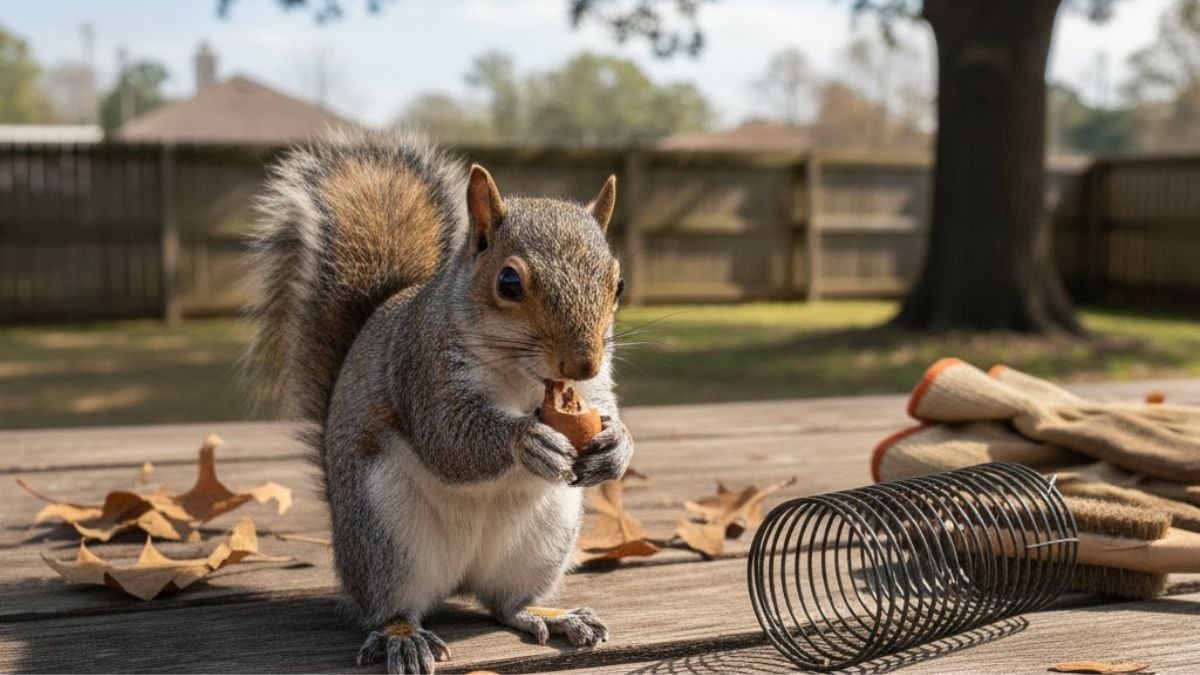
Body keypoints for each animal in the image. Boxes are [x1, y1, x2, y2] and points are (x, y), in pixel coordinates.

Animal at [245, 128, 635, 675]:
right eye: (508, 282)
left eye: (617, 283)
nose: (582, 364)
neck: (522, 377)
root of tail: (458, 579)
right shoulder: (423, 369)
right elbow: (449, 438)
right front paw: (527, 442)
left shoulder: (593, 391)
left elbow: (605, 408)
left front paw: (617, 446)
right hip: (384, 534)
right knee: (391, 606)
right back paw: (404, 637)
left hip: (543, 539)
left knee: (506, 604)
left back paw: (552, 614)